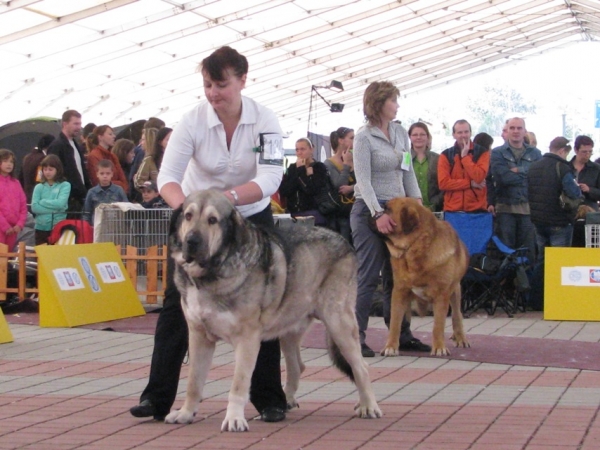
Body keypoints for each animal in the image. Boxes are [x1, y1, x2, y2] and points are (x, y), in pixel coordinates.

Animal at [382, 197, 472, 356]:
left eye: (388, 209)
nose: (377, 213)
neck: (415, 247)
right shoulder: (399, 291)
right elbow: (395, 322)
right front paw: (391, 347)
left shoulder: (442, 295)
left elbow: (438, 325)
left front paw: (439, 348)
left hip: (455, 291)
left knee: (457, 315)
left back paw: (460, 338)